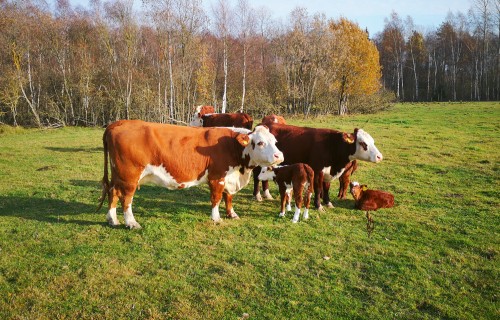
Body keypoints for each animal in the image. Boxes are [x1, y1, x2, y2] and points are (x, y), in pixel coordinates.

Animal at [96, 120, 286, 228]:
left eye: (275, 141)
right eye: (260, 143)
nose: (279, 156)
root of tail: (119, 123)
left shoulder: (228, 177)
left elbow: (228, 197)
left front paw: (232, 214)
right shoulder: (216, 177)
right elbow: (216, 198)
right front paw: (216, 218)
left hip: (118, 174)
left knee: (113, 192)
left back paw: (112, 219)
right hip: (129, 176)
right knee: (126, 198)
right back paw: (131, 222)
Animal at [252, 124, 384, 211]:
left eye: (372, 141)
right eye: (363, 143)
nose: (379, 156)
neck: (332, 145)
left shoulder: (327, 172)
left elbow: (326, 188)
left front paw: (328, 202)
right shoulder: (317, 171)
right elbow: (318, 189)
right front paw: (319, 205)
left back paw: (267, 195)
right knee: (256, 177)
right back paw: (257, 195)